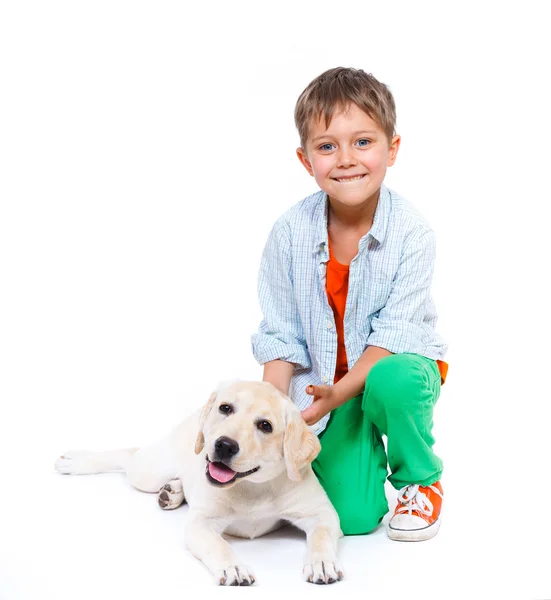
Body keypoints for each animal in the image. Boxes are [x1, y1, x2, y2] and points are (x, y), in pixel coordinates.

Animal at [54, 382, 342, 584]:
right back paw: (78, 461)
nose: (224, 445)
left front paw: (322, 562)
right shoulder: (201, 523)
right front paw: (233, 567)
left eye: (265, 425)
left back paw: (172, 492)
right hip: (149, 471)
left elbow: (320, 537)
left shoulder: (323, 514)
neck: (253, 486)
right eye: (226, 408)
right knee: (129, 455)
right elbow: (219, 545)